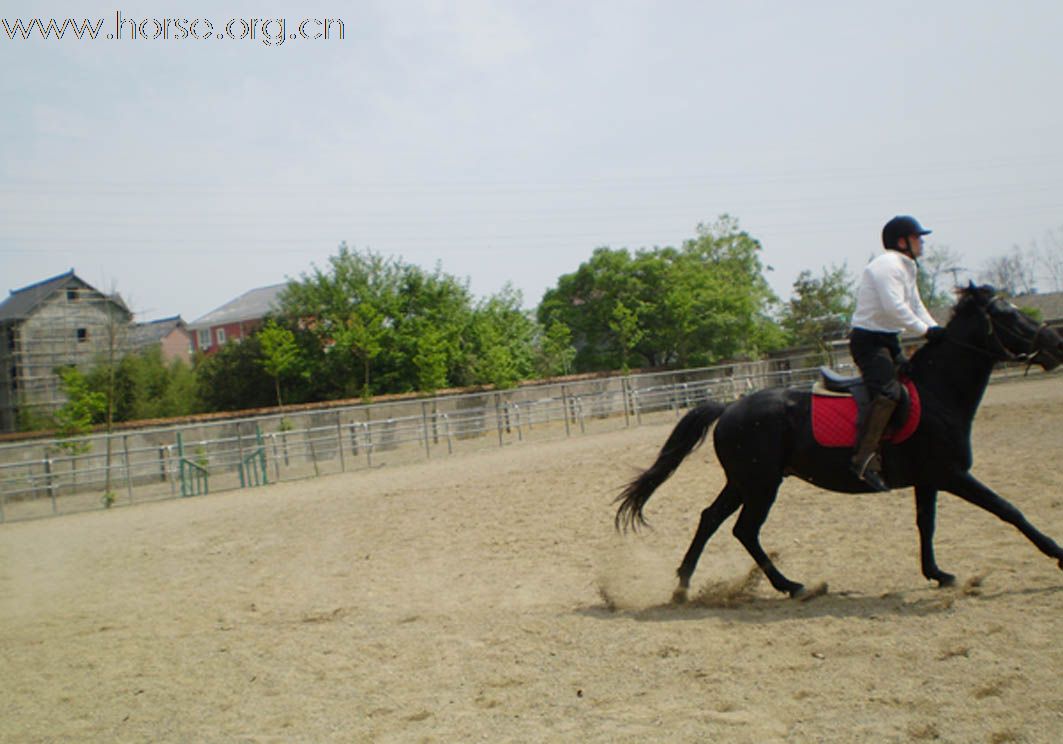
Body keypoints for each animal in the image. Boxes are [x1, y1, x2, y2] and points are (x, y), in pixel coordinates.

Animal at [616, 282, 1063, 603]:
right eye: (1007, 315)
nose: (1056, 344)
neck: (939, 393)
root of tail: (729, 408)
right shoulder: (952, 474)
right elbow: (1010, 511)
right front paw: (1057, 555)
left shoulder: (929, 479)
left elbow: (927, 524)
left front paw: (937, 574)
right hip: (761, 485)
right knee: (744, 530)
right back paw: (792, 585)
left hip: (745, 481)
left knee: (711, 519)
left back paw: (683, 586)